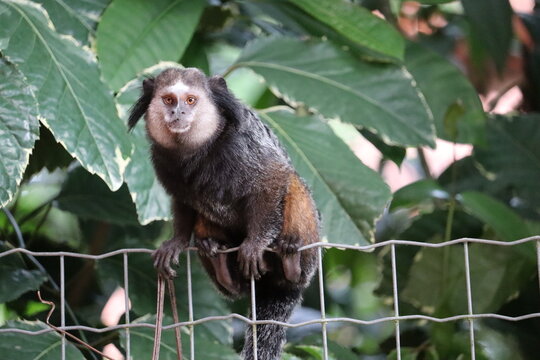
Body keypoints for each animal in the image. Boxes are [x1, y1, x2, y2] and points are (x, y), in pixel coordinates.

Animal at [128, 68, 318, 360]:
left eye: (191, 100)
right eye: (169, 99)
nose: (178, 112)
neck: (198, 150)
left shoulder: (244, 148)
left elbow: (274, 178)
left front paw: (255, 244)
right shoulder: (161, 160)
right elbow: (183, 203)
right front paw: (177, 242)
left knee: (294, 183)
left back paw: (291, 261)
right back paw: (217, 259)